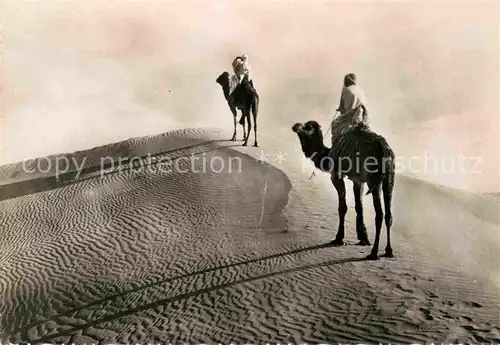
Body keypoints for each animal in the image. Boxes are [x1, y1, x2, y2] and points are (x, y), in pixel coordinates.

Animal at [292, 120, 394, 258]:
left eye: (307, 127)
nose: (295, 126)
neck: (328, 154)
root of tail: (384, 149)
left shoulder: (336, 175)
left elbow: (342, 207)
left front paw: (339, 238)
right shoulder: (358, 180)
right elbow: (359, 206)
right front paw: (363, 238)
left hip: (373, 178)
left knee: (379, 213)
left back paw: (373, 253)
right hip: (389, 177)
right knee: (388, 214)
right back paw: (389, 251)